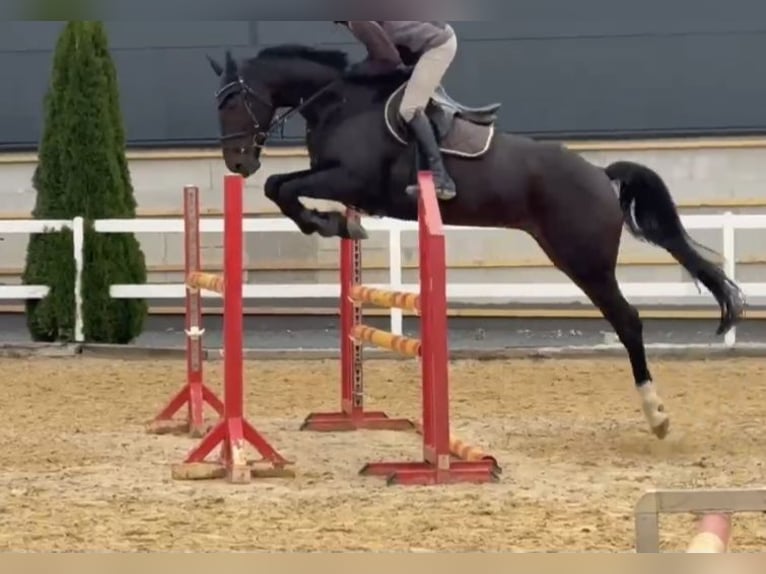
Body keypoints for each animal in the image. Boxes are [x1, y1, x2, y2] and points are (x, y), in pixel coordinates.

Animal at [206, 44, 746, 440]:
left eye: (232, 101)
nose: (237, 162)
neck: (340, 103)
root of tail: (599, 172)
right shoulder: (339, 181)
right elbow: (280, 187)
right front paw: (335, 224)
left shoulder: (351, 180)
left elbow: (282, 187)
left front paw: (330, 224)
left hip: (584, 261)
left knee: (628, 320)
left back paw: (657, 415)